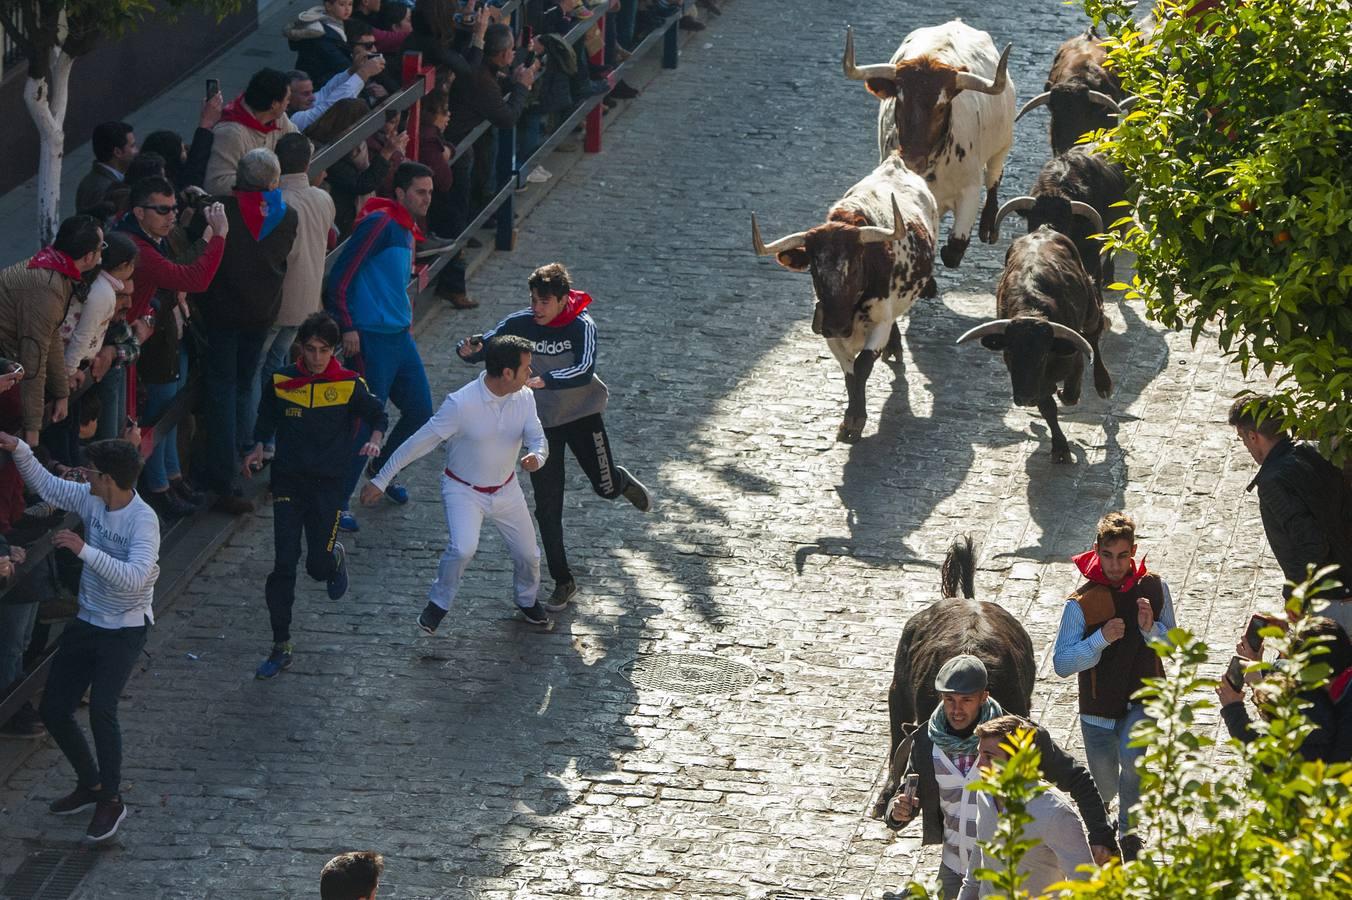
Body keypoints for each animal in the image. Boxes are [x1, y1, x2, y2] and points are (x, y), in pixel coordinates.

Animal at [751, 157, 940, 445]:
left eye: (854, 266)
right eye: (814, 269)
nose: (837, 326)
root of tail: (894, 163)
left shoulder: (879, 323)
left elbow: (862, 365)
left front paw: (855, 421)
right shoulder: (828, 332)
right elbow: (849, 372)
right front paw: (850, 419)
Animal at [843, 20, 1016, 266]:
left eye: (942, 107)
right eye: (899, 102)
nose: (912, 160)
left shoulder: (970, 190)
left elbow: (954, 250)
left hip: (1002, 145)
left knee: (994, 175)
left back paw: (987, 227)